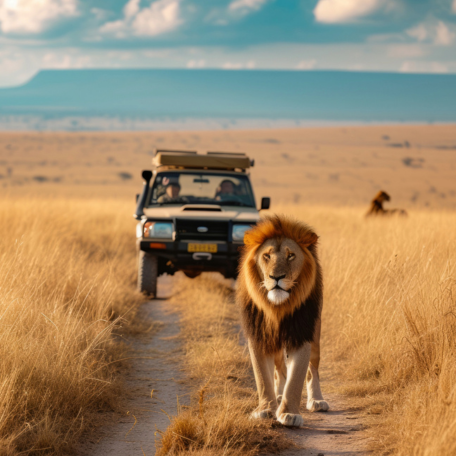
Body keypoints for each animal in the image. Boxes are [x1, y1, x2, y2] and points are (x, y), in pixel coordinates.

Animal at [237, 214, 330, 428]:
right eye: (267, 256)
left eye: (291, 256)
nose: (276, 277)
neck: (277, 308)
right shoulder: (259, 336)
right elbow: (263, 378)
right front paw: (265, 409)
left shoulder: (302, 334)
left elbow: (296, 378)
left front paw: (289, 413)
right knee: (279, 368)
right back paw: (277, 396)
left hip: (316, 335)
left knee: (313, 370)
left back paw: (316, 400)